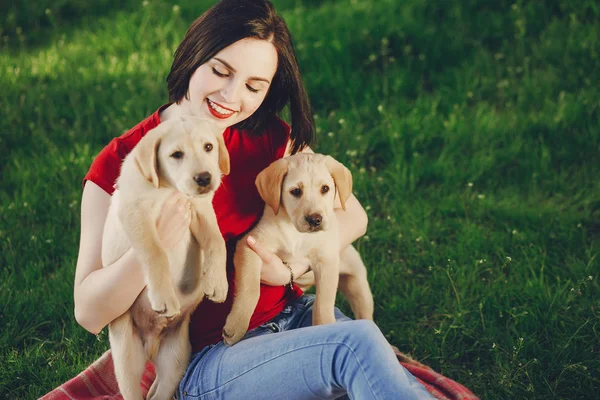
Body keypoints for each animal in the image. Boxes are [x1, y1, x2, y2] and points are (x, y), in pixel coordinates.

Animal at [102, 116, 229, 400]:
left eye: (208, 147)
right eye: (176, 155)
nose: (205, 178)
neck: (168, 188)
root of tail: (151, 346)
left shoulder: (200, 209)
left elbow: (218, 242)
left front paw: (217, 283)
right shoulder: (136, 214)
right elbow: (156, 252)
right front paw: (164, 297)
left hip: (176, 360)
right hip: (126, 359)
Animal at [223, 152, 372, 346]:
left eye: (325, 189)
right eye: (296, 191)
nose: (315, 219)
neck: (297, 234)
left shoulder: (326, 260)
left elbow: (324, 302)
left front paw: (324, 326)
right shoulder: (250, 245)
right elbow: (251, 289)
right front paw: (236, 326)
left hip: (358, 286)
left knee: (366, 315)